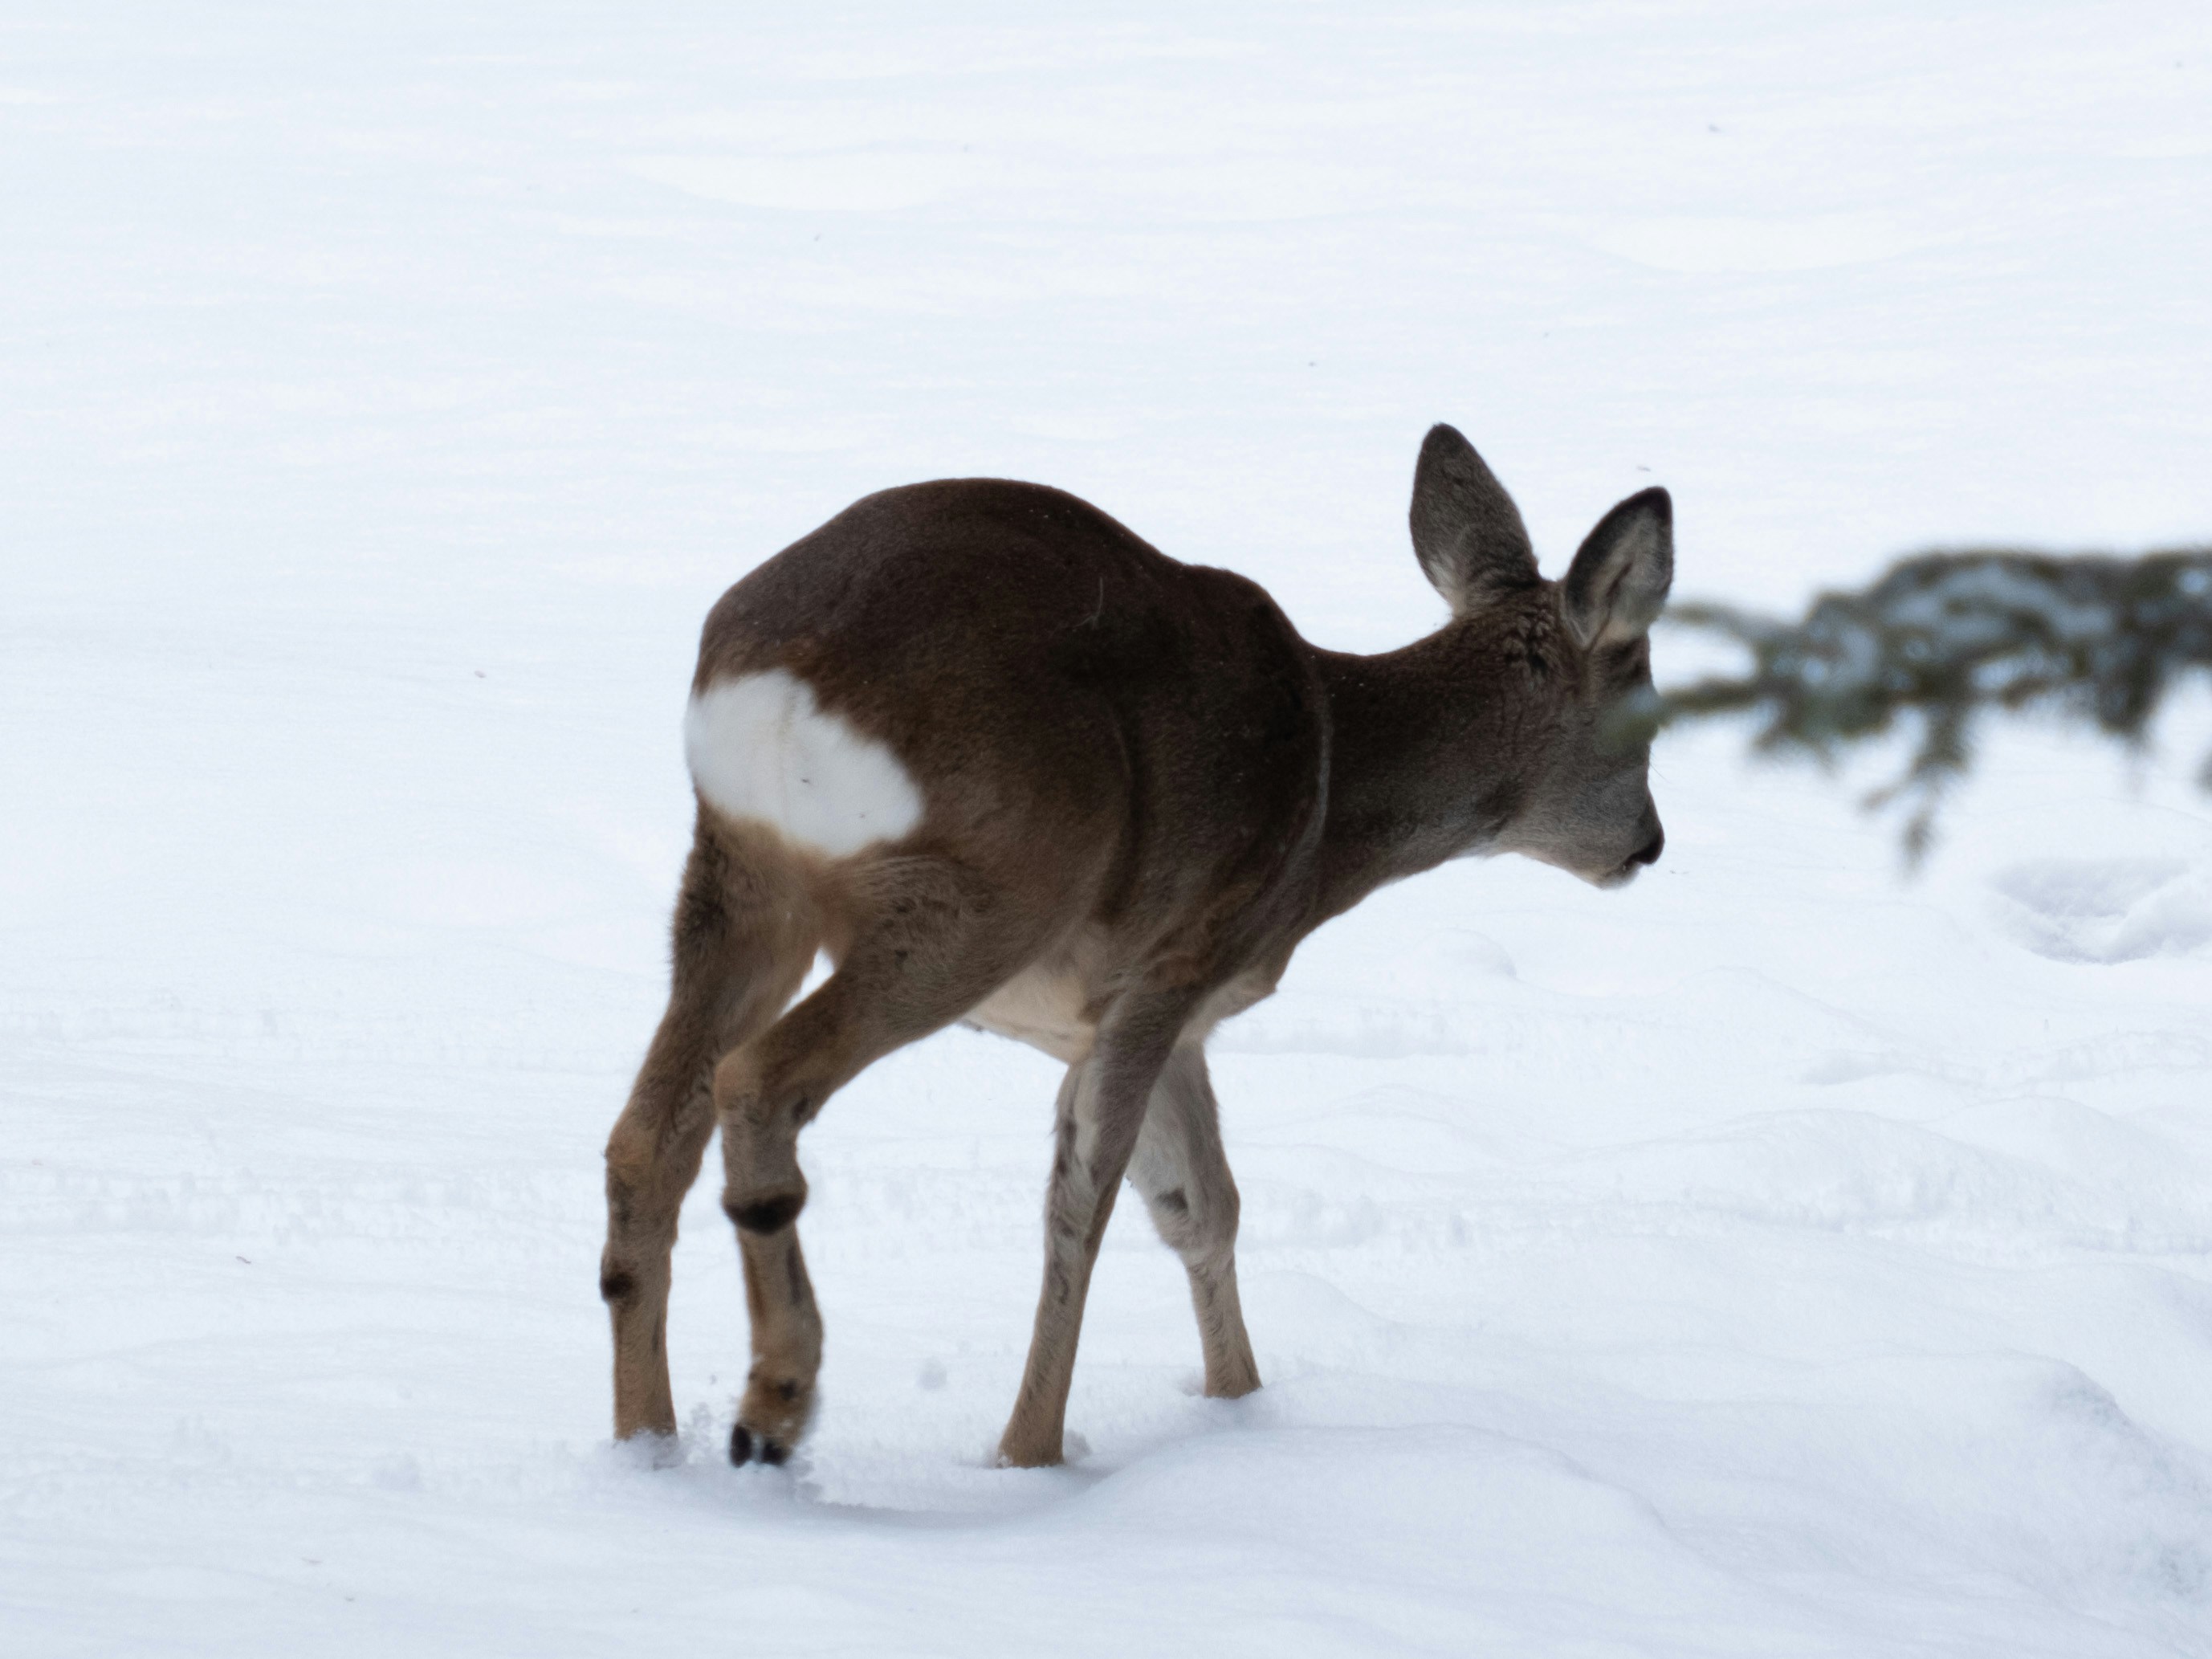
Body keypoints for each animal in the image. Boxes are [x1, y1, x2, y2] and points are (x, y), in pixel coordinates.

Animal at [600, 424, 1672, 1469]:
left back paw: (647, 1443)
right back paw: (775, 1404)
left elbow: (1201, 1204)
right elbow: (1089, 1203)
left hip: (741, 876)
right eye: (1649, 718)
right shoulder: (1171, 965)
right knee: (755, 1079)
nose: (1649, 843)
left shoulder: (1157, 1015)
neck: (1330, 819)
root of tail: (774, 685)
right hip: (985, 892)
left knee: (646, 1135)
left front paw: (1238, 1403)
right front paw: (1030, 1452)